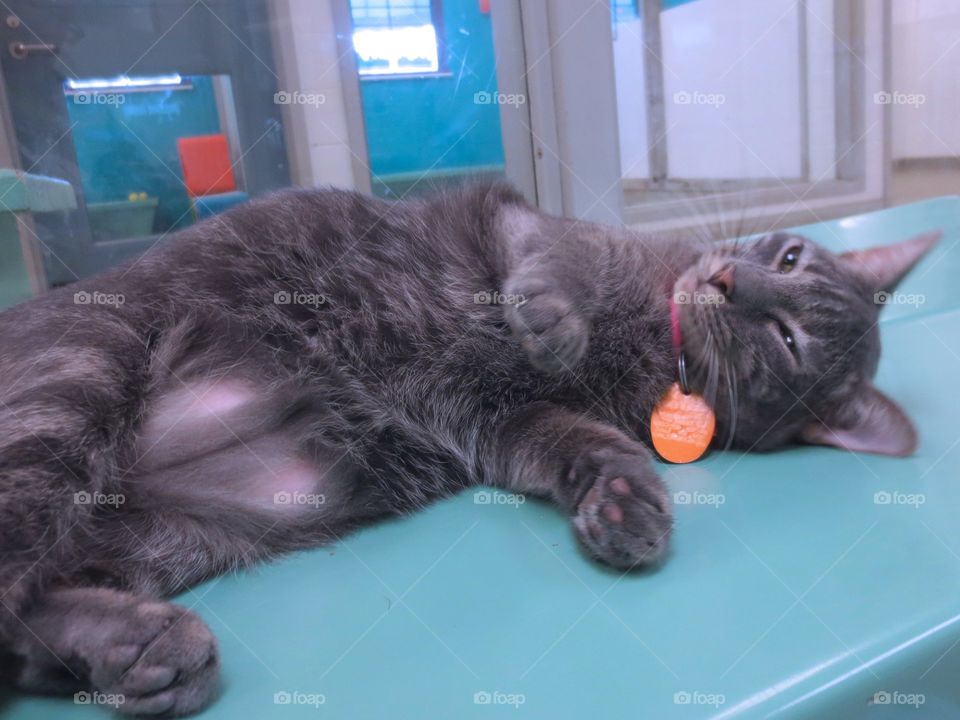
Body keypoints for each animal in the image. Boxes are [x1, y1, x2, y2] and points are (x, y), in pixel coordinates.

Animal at [0, 184, 932, 716]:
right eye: (789, 254)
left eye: (786, 340)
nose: (731, 281)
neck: (656, 347)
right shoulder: (515, 219)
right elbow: (553, 258)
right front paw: (551, 314)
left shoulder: (510, 428)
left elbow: (582, 445)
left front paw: (623, 501)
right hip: (76, 380)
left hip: (172, 533)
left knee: (26, 624)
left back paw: (139, 651)